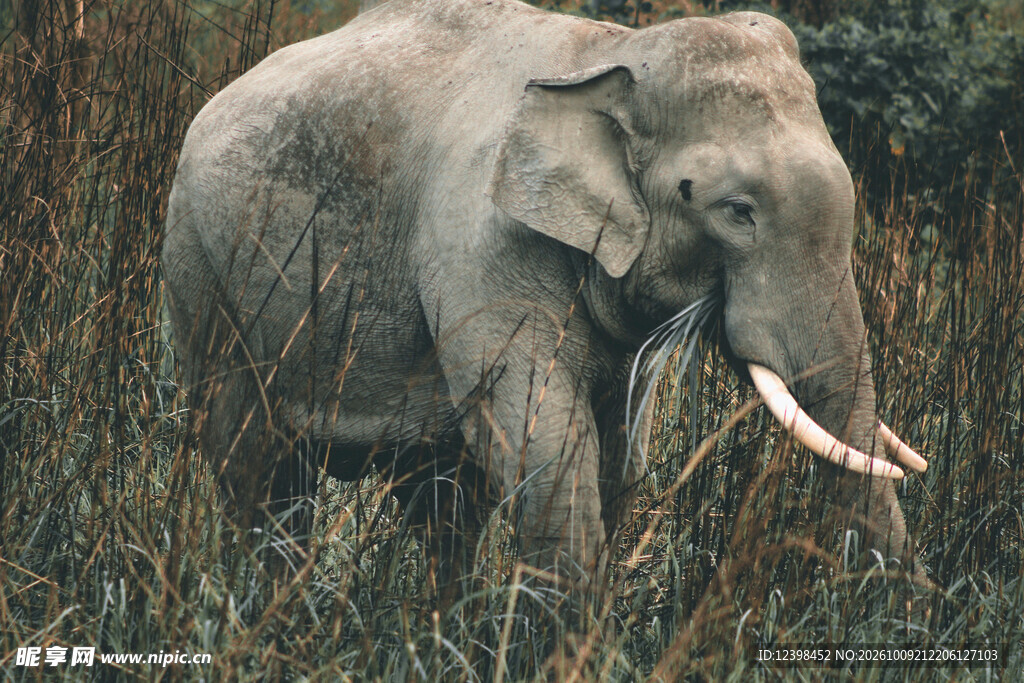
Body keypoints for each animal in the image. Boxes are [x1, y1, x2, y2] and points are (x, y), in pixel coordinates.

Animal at [162, 0, 929, 592]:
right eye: (737, 211)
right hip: (202, 267)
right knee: (258, 467)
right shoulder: (482, 246)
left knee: (442, 499)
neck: (609, 55)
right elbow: (549, 448)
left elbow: (618, 457)